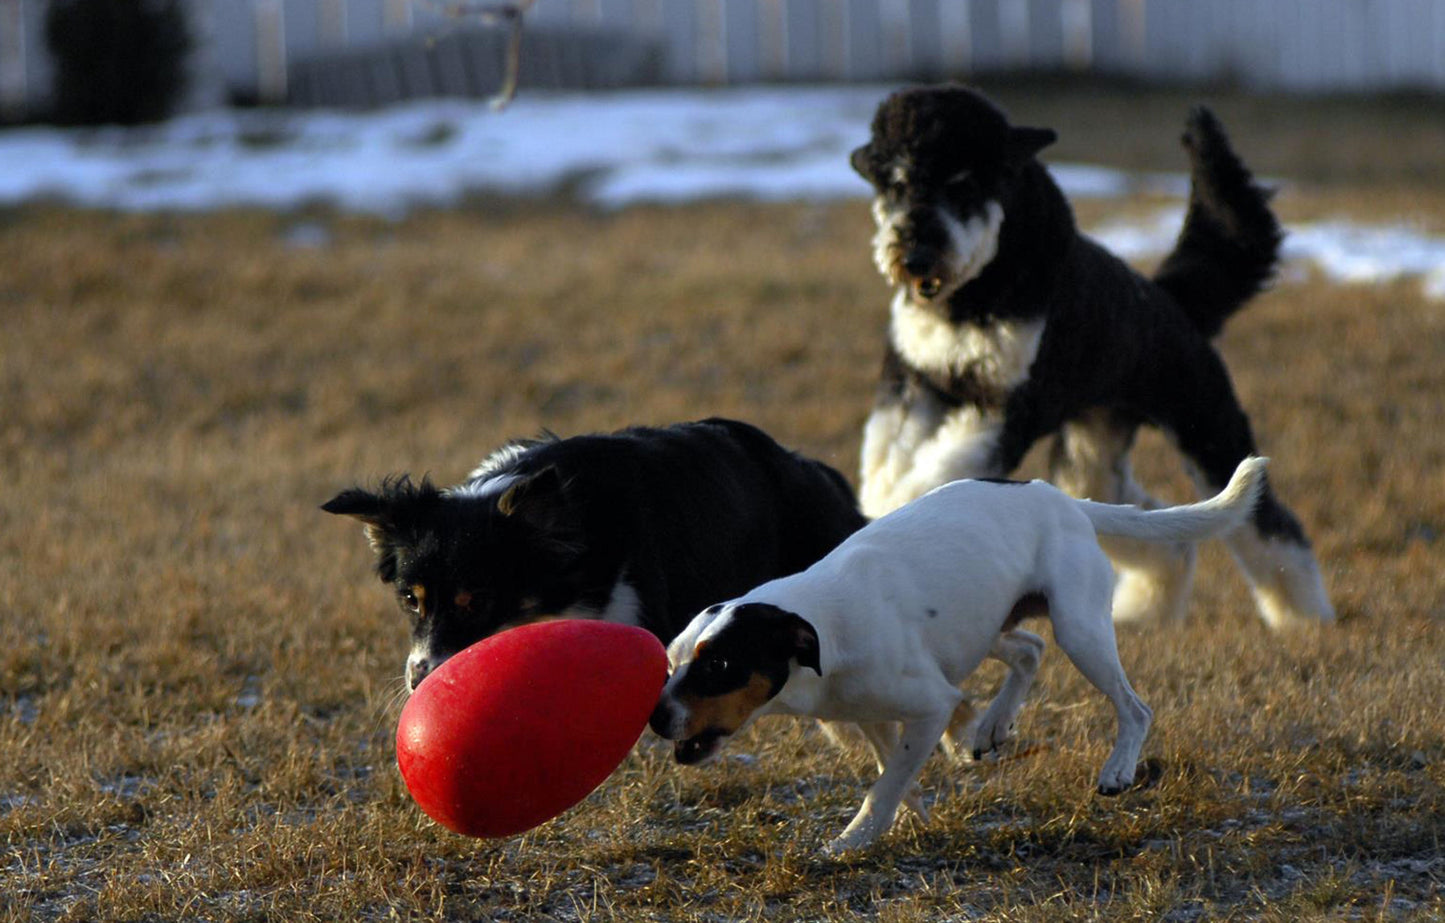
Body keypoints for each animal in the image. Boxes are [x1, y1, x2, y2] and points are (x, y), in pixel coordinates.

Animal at [650, 459, 1271, 855]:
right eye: (671, 664)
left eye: (718, 665)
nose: (655, 717)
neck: (823, 633)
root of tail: (1058, 496)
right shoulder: (871, 714)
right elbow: (893, 774)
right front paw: (911, 816)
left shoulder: (928, 705)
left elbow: (885, 784)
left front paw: (852, 840)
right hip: (986, 625)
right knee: (1028, 650)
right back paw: (993, 725)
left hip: (1080, 629)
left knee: (1132, 705)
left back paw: (1117, 769)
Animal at [849, 86, 1335, 632]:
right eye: (897, 184)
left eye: (964, 184)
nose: (915, 258)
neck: (975, 293)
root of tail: (1171, 301)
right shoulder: (914, 383)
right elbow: (888, 460)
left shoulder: (1005, 405)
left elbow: (937, 468)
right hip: (1092, 455)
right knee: (1162, 535)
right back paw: (1147, 614)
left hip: (1207, 430)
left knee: (1272, 529)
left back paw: (1305, 620)